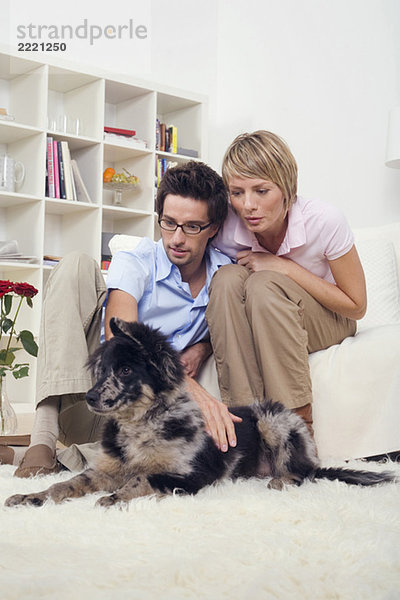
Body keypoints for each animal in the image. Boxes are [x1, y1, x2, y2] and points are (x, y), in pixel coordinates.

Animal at [4, 318, 396, 506]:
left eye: (127, 370)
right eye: (101, 371)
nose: (88, 397)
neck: (142, 426)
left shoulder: (191, 476)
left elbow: (141, 480)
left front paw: (113, 499)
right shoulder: (106, 469)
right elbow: (67, 483)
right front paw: (32, 497)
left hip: (273, 419)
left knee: (303, 472)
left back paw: (280, 480)